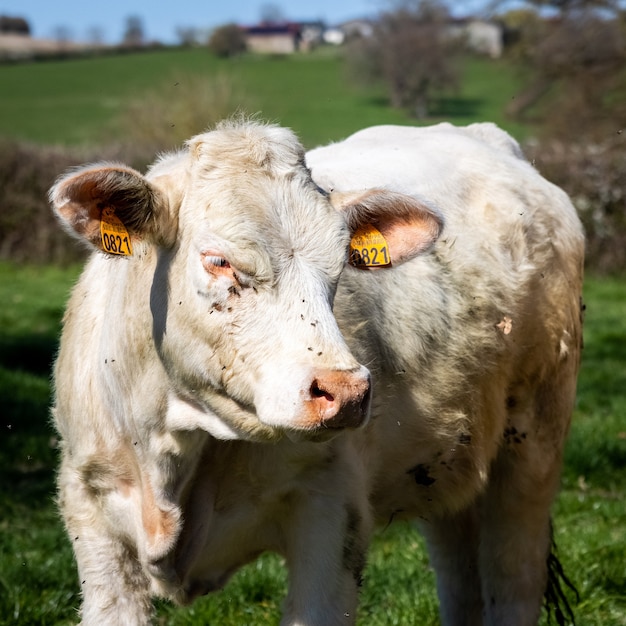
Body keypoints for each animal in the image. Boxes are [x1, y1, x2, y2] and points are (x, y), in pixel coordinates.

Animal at [51, 118, 584, 624]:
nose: (346, 391)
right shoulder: (91, 512)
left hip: (532, 446)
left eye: (339, 264)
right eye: (220, 260)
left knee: (513, 578)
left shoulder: (330, 512)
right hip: (449, 462)